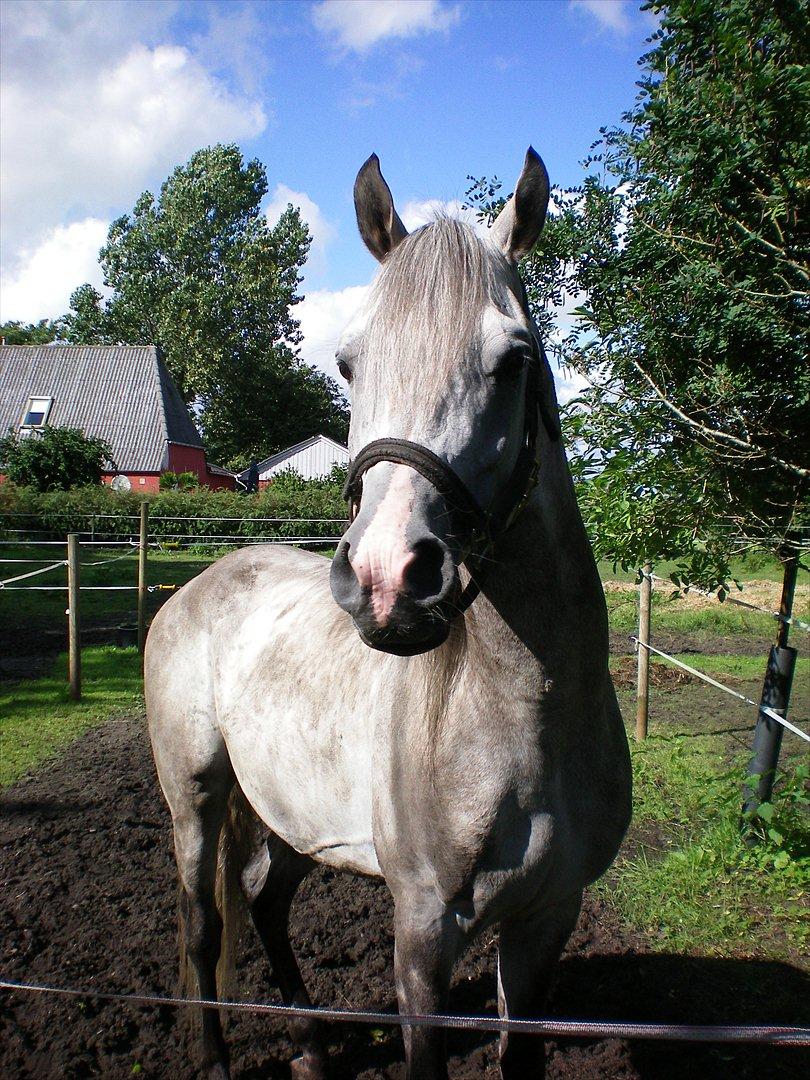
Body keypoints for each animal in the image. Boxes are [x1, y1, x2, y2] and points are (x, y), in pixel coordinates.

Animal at [145, 145, 635, 1080]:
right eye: (348, 363)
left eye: (514, 360)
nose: (386, 578)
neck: (525, 718)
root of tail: (199, 586)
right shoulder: (423, 931)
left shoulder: (545, 922)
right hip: (195, 795)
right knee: (201, 923)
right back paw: (219, 1055)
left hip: (293, 819)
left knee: (263, 904)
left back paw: (310, 1046)